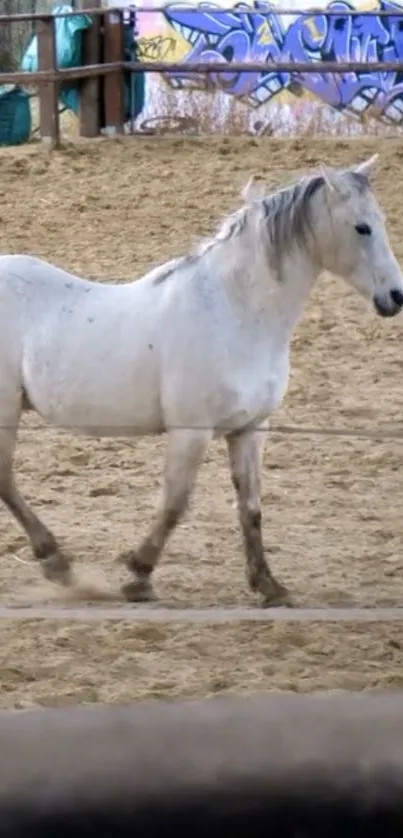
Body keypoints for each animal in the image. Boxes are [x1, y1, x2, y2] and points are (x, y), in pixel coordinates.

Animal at [0, 154, 400, 608]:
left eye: (382, 221)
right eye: (362, 227)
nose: (396, 296)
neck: (234, 312)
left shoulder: (249, 429)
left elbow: (251, 506)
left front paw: (269, 586)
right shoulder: (191, 430)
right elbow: (175, 503)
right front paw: (138, 576)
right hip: (6, 408)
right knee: (5, 478)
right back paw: (56, 563)